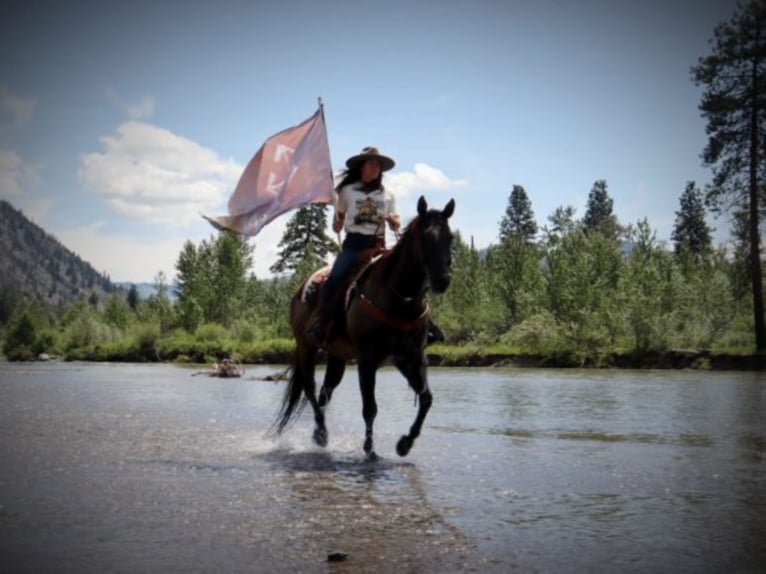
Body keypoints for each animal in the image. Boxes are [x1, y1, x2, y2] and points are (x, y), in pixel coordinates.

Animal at [274, 197, 456, 460]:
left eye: (450, 237)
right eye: (425, 237)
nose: (443, 280)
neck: (399, 298)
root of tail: (300, 290)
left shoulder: (410, 357)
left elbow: (426, 398)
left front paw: (405, 444)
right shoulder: (367, 359)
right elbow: (370, 408)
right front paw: (370, 450)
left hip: (337, 356)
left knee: (325, 392)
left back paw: (319, 433)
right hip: (306, 347)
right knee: (310, 388)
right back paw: (321, 434)